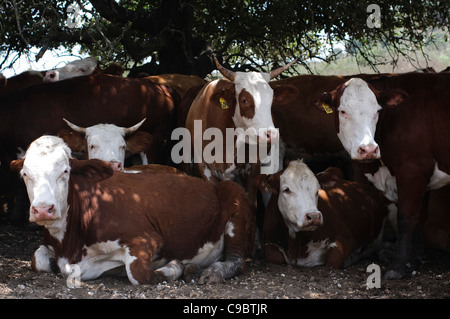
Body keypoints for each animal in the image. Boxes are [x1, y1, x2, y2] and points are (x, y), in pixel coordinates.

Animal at [11, 136, 256, 286]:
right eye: (25, 174)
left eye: (65, 171)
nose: (43, 209)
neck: (70, 246)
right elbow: (38, 259)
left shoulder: (146, 238)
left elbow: (138, 273)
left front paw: (174, 266)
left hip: (236, 199)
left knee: (237, 260)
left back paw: (212, 271)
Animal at [258, 161, 388, 268]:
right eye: (286, 189)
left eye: (317, 190)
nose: (314, 216)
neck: (297, 245)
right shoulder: (267, 239)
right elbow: (274, 257)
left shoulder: (346, 237)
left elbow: (334, 259)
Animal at [316, 73, 450, 280]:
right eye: (343, 111)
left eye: (377, 112)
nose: (368, 149)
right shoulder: (424, 174)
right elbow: (420, 218)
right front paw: (413, 261)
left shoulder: (413, 170)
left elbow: (406, 217)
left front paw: (398, 266)